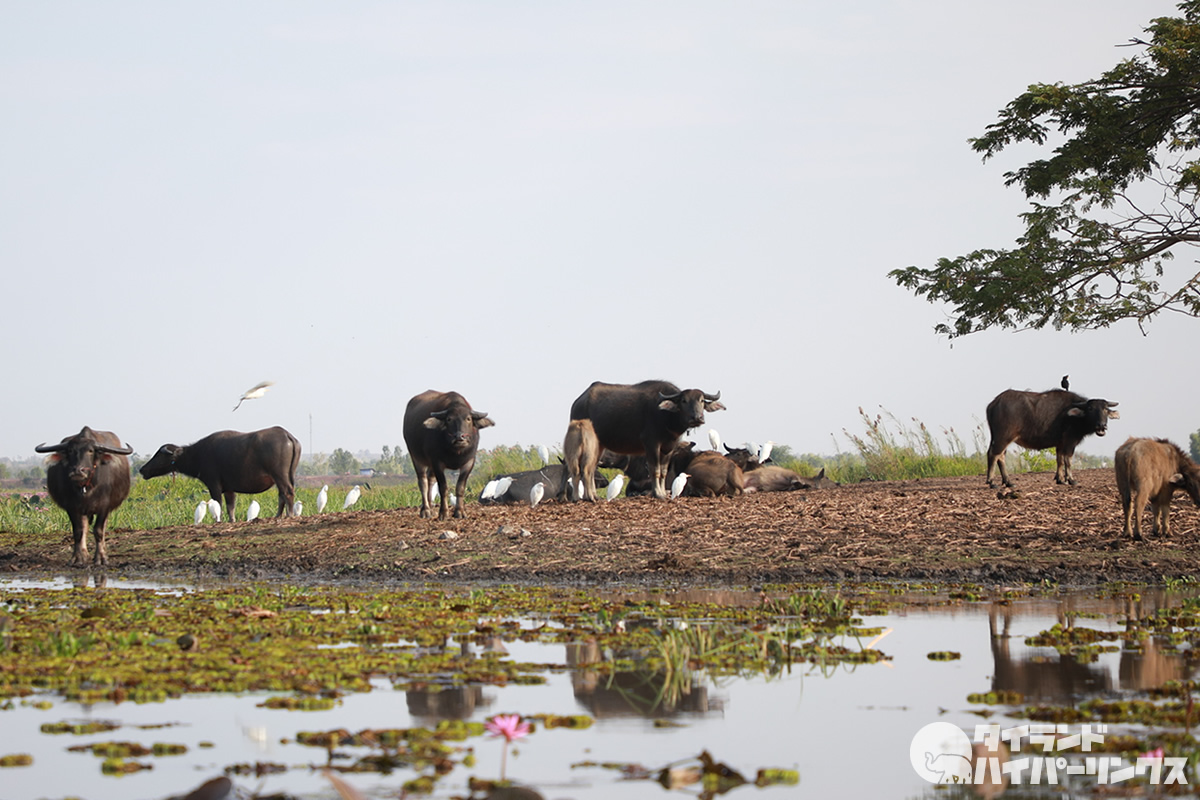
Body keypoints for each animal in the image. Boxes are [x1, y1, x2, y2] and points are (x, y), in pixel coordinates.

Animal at [34, 429, 132, 566]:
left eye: (90, 451)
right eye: (70, 450)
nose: (77, 471)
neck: (86, 487)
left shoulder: (104, 506)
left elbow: (98, 530)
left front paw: (101, 557)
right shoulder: (72, 507)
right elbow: (78, 531)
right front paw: (77, 557)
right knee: (84, 527)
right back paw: (85, 553)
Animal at [141, 429, 302, 522]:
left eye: (159, 455)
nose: (143, 470)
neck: (197, 455)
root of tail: (287, 436)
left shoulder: (214, 485)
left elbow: (217, 503)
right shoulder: (229, 489)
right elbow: (231, 507)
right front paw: (232, 520)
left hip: (279, 475)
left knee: (287, 492)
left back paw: (289, 515)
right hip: (284, 475)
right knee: (282, 494)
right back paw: (278, 515)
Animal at [403, 391, 492, 522]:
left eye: (468, 419)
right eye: (449, 419)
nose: (460, 437)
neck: (456, 451)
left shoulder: (469, 463)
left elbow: (460, 487)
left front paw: (460, 512)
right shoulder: (437, 463)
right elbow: (443, 488)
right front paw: (443, 513)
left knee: (430, 480)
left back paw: (431, 507)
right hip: (416, 458)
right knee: (423, 482)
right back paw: (426, 510)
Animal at [568, 381, 724, 501]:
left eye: (701, 400)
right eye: (684, 400)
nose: (697, 418)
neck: (666, 417)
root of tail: (578, 402)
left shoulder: (669, 447)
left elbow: (663, 471)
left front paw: (663, 492)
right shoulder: (651, 444)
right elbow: (655, 469)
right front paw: (658, 494)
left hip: (600, 446)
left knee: (591, 469)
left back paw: (593, 496)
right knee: (582, 468)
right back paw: (583, 497)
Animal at [988, 388, 1118, 489]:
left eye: (1105, 409)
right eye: (1090, 408)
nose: (1101, 425)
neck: (1074, 416)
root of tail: (994, 403)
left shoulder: (1060, 444)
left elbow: (1059, 460)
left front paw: (1060, 479)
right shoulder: (1070, 442)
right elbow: (1068, 460)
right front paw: (1071, 480)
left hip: (999, 438)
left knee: (999, 456)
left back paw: (1008, 482)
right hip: (1004, 437)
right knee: (994, 454)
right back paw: (991, 482)